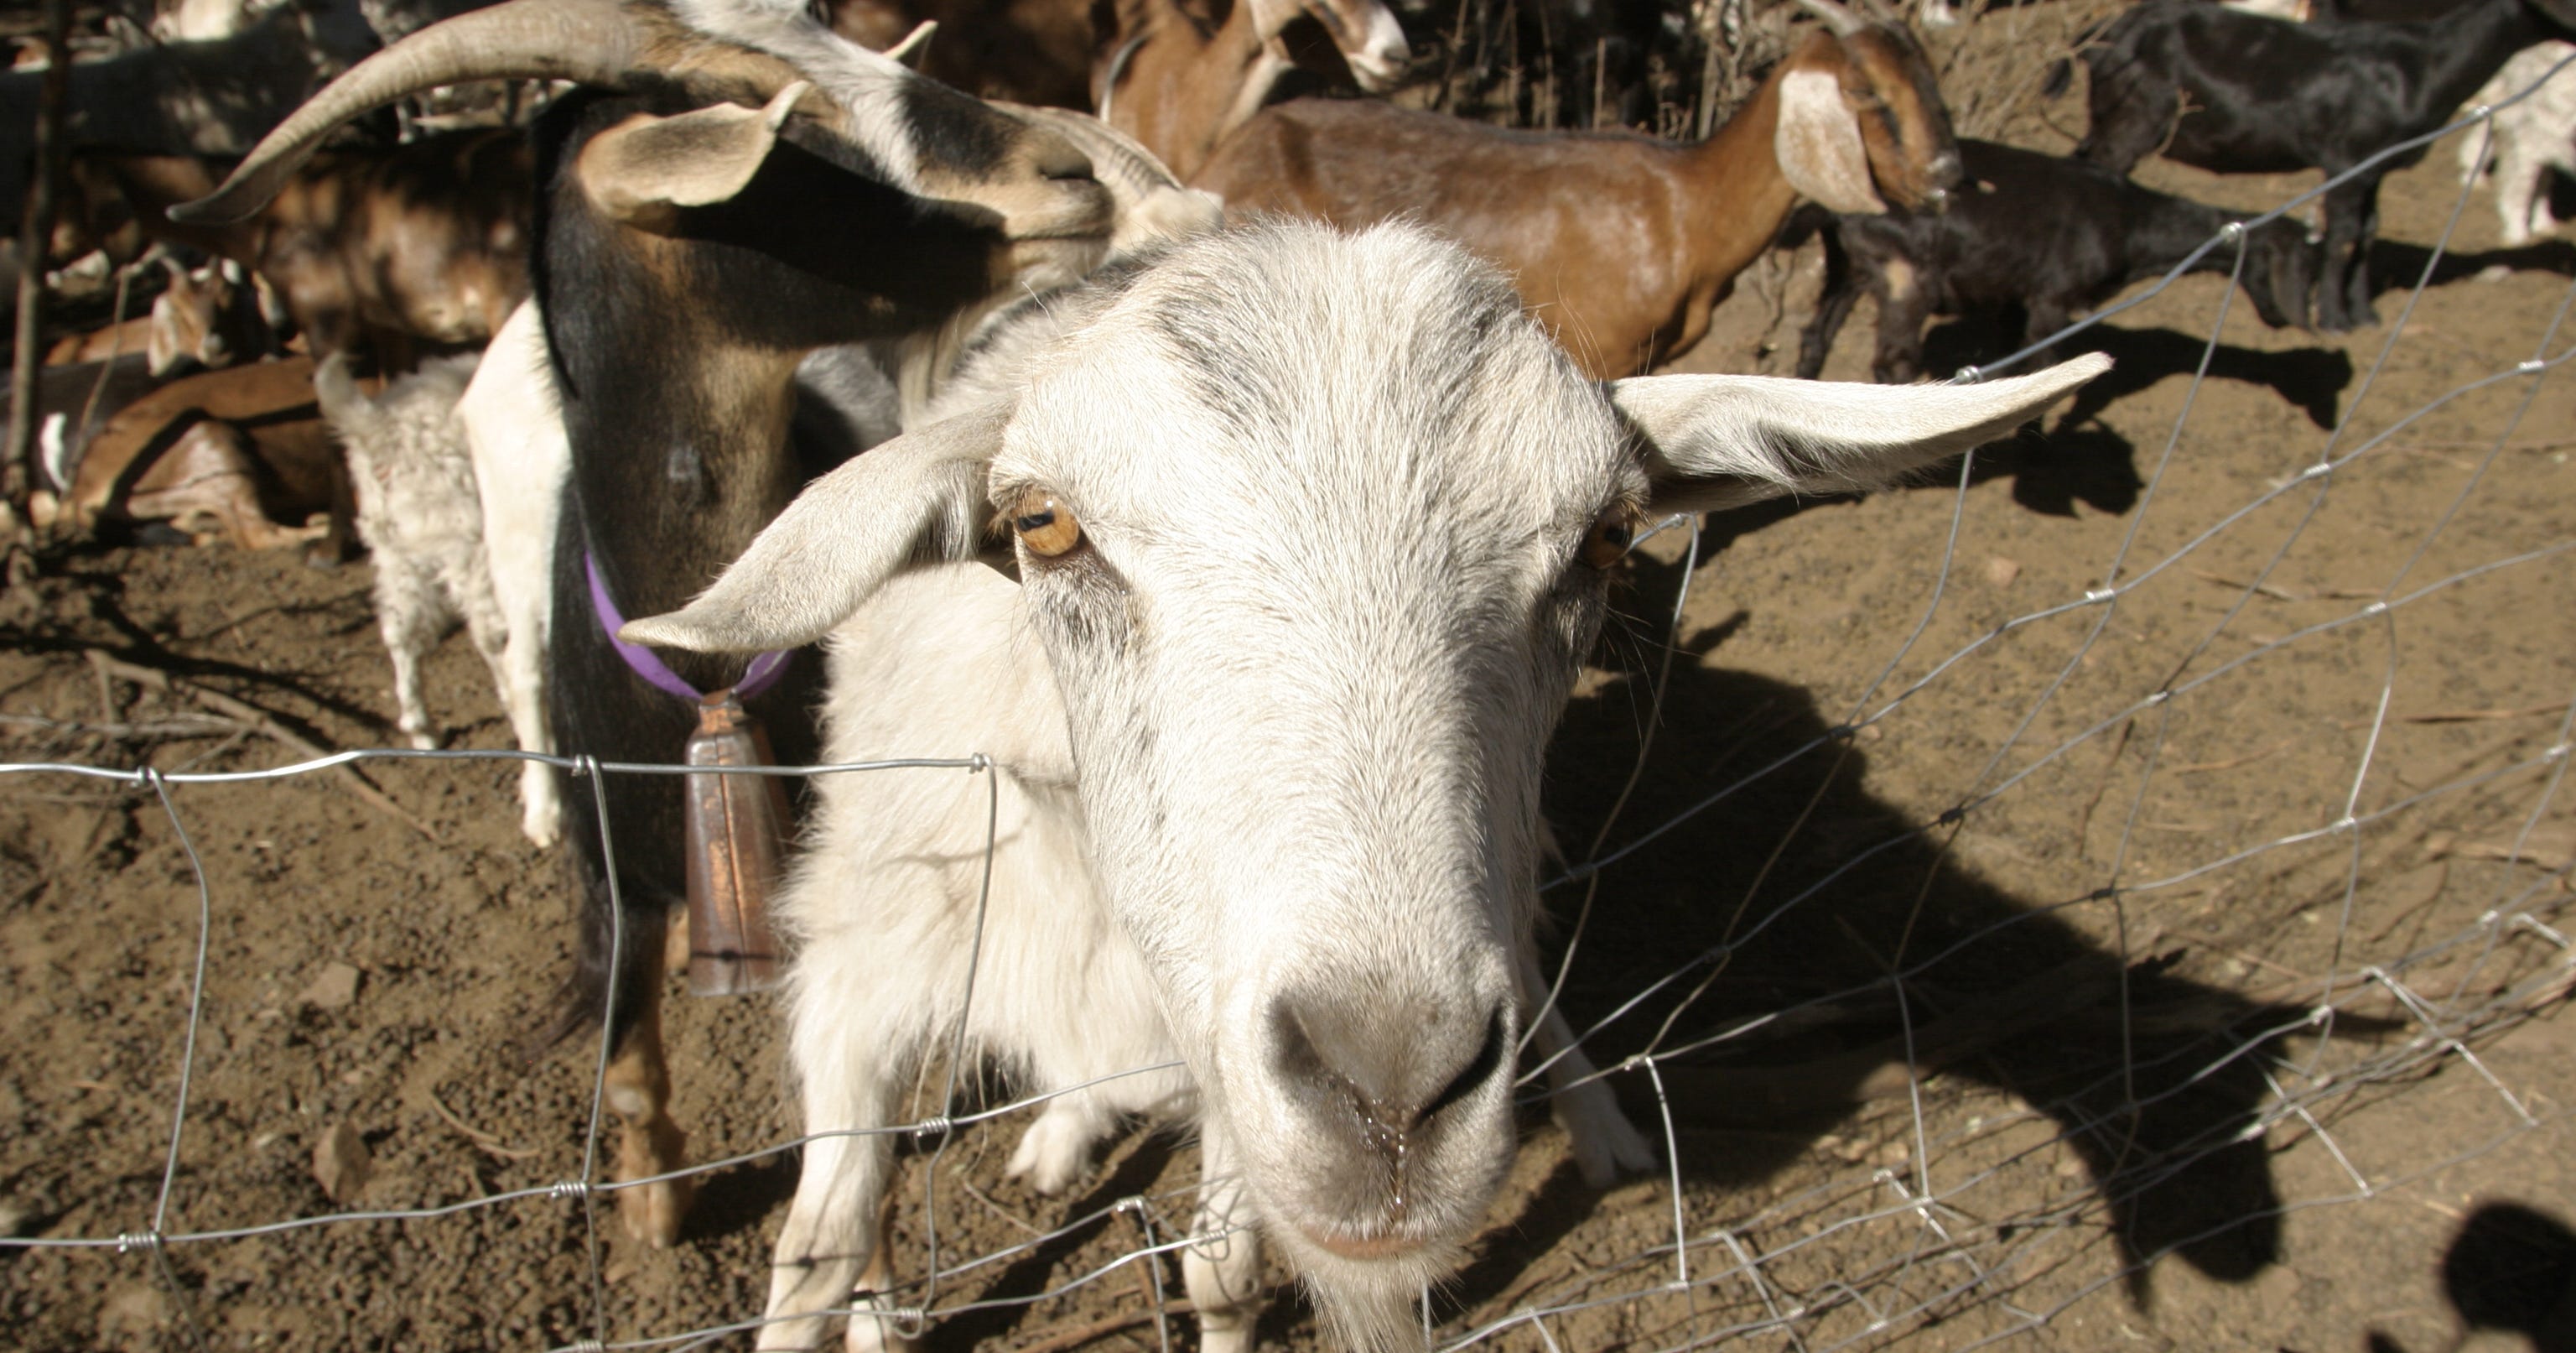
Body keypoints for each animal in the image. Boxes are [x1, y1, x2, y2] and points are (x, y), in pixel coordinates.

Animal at [314, 352, 504, 752]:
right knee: (494, 639)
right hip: (470, 542)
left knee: (400, 631)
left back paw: (422, 729)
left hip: (396, 549)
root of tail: (378, 426)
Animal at [624, 219, 2109, 1353]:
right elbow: (816, 1261)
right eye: (1043, 524)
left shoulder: (1231, 1049)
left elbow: (1224, 1271)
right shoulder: (867, 972)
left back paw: (1605, 1124)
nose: (1392, 1090)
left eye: (1609, 538)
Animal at [1193, 0, 1961, 379]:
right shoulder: (1601, 354)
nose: (1948, 174)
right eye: (1868, 92)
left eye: (1929, 75)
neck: (1685, 208)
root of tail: (1225, 158)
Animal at [1795, 138, 2317, 383]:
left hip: (1848, 266)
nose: (2284, 320)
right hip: (1906, 275)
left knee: (1816, 336)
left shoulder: (2013, 294)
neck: (2130, 221)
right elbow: (2044, 360)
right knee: (1894, 362)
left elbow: (2008, 361)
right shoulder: (2052, 297)